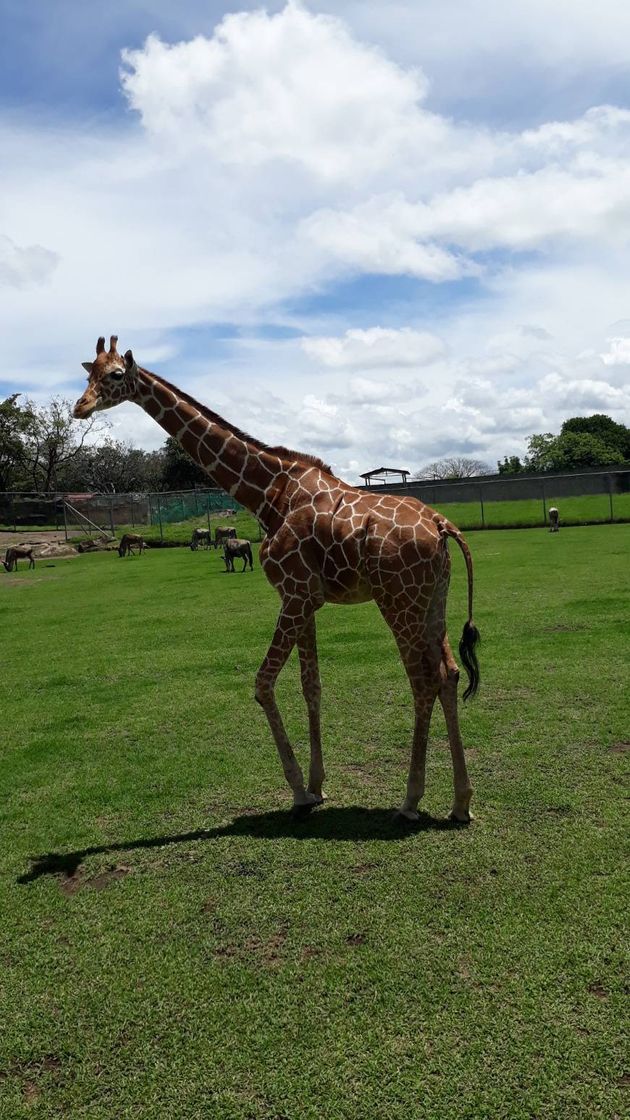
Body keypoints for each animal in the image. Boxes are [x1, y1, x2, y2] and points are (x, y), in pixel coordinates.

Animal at [76, 336, 479, 819]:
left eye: (116, 375)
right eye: (87, 372)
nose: (80, 406)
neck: (267, 493)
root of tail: (442, 524)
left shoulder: (293, 595)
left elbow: (263, 684)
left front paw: (299, 790)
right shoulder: (307, 599)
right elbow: (311, 686)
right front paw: (318, 784)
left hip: (398, 599)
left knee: (423, 681)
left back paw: (410, 799)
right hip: (433, 597)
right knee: (449, 674)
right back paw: (460, 802)